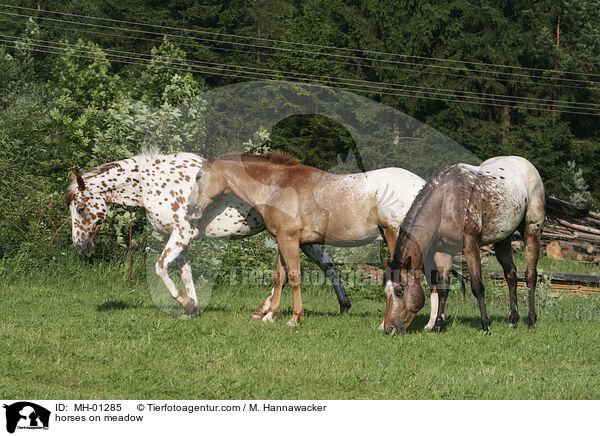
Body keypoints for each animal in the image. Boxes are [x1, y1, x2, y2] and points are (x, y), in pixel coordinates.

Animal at [64, 153, 352, 316]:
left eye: (80, 208)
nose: (81, 247)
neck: (156, 183)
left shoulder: (181, 235)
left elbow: (160, 267)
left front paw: (185, 303)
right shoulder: (179, 240)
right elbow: (185, 273)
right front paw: (191, 308)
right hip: (302, 238)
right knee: (325, 264)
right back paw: (341, 306)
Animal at [185, 150, 442, 328]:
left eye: (199, 176)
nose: (190, 208)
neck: (277, 186)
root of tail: (424, 186)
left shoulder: (289, 240)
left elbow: (294, 278)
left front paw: (295, 318)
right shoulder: (283, 240)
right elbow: (279, 278)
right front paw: (270, 316)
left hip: (397, 237)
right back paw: (431, 324)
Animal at [384, 156, 584, 334]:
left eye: (400, 291)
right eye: (386, 292)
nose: (389, 328)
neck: (447, 200)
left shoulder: (470, 244)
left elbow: (477, 286)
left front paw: (486, 324)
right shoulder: (442, 252)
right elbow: (443, 288)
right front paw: (439, 325)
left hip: (532, 231)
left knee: (530, 275)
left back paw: (531, 319)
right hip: (503, 238)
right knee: (511, 274)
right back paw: (513, 319)